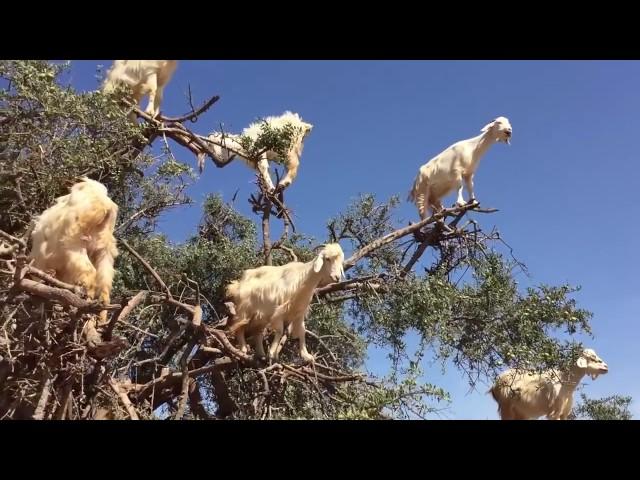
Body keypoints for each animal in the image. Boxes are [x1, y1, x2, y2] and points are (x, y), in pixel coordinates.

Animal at [28, 178, 119, 324]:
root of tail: (105, 205)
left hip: (74, 242)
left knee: (89, 273)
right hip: (105, 251)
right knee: (104, 286)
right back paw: (100, 318)